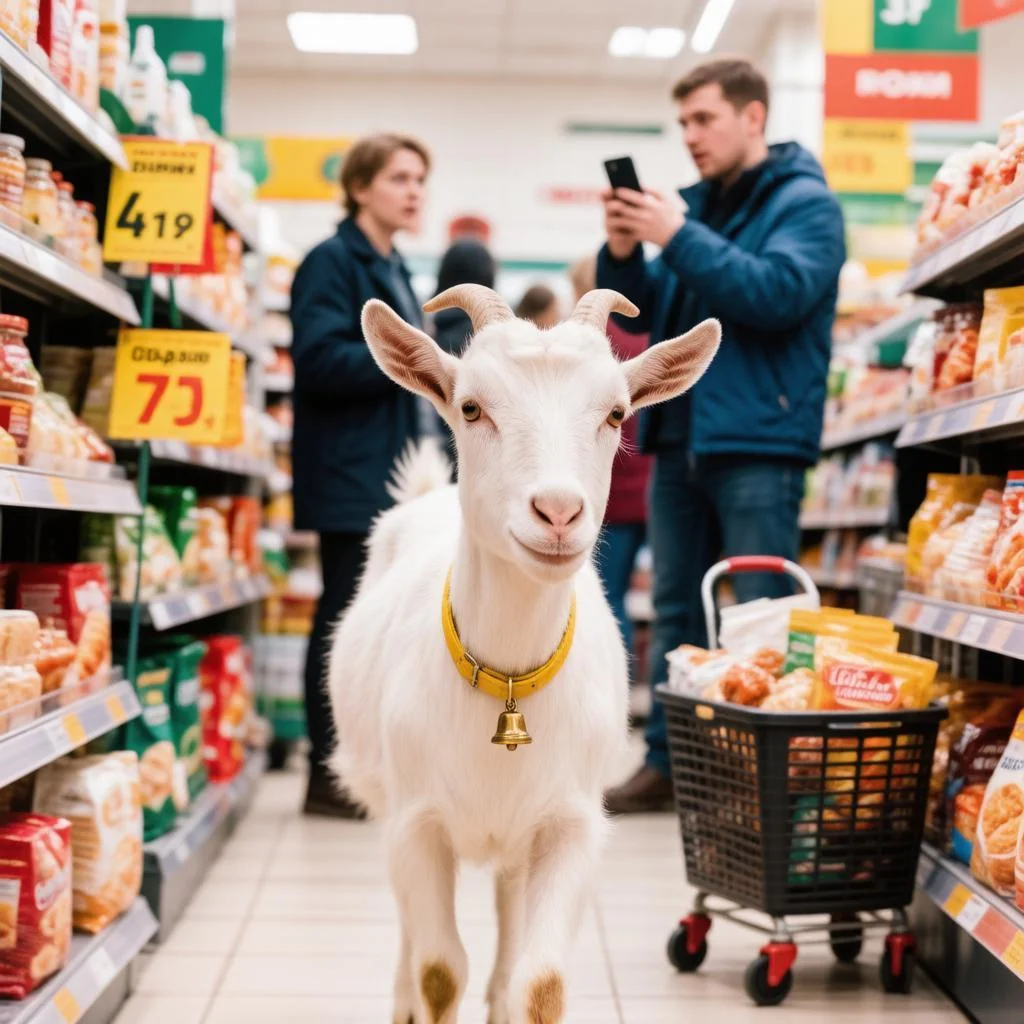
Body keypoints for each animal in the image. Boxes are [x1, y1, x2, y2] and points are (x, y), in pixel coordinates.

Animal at [327, 285, 720, 1024]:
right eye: (471, 407)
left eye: (616, 412)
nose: (558, 512)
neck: (509, 680)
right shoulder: (417, 822)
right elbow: (438, 971)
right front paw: (422, 997)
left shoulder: (569, 824)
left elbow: (540, 982)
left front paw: (515, 996)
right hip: (384, 799)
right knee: (408, 923)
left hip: (517, 836)